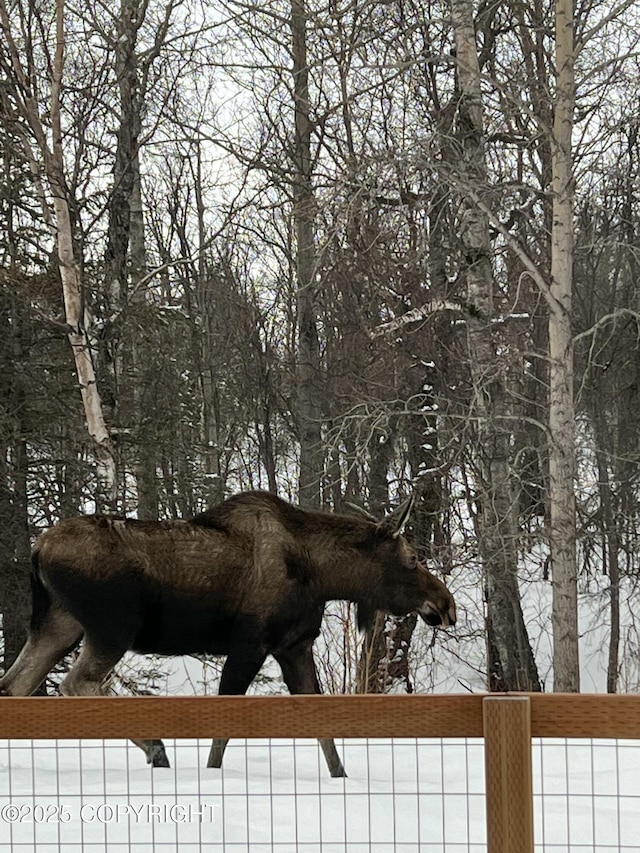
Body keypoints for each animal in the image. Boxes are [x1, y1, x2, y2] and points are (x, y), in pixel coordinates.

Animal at [2, 490, 458, 776]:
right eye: (413, 558)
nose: (446, 605)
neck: (323, 576)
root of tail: (37, 550)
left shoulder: (294, 646)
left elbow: (321, 725)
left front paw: (341, 779)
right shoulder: (251, 644)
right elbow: (224, 724)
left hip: (57, 625)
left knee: (15, 685)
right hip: (110, 628)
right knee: (75, 683)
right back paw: (156, 748)